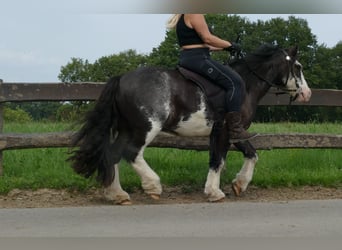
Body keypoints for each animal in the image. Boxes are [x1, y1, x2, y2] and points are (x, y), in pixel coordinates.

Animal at [69, 44, 312, 205]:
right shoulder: (224, 131)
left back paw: (117, 194)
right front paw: (214, 192)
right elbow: (217, 160)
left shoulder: (235, 131)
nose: (307, 94)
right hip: (146, 128)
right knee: (131, 153)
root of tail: (121, 79)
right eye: (298, 67)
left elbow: (251, 154)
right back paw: (153, 186)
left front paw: (239, 184)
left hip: (126, 129)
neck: (245, 84)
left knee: (112, 155)